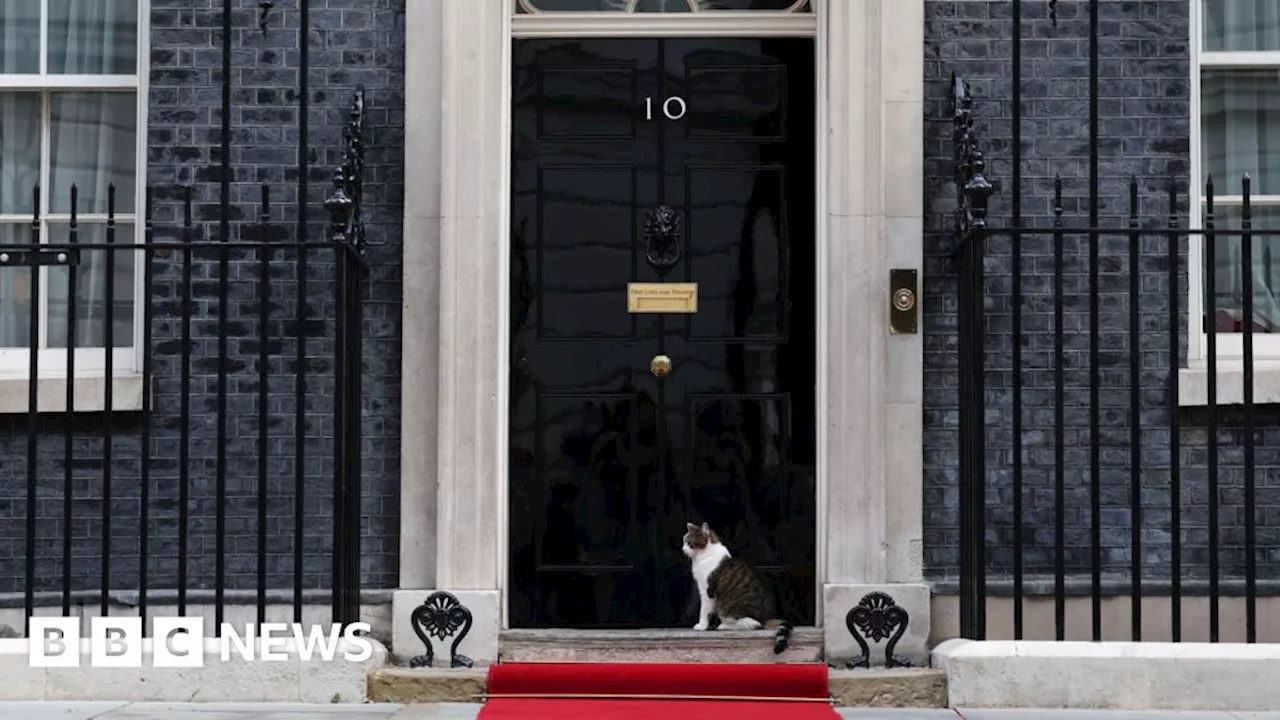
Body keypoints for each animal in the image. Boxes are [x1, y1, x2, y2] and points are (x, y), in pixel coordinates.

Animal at [680, 517, 788, 653]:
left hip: (728, 608)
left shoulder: (707, 591)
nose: (682, 549)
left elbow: (704, 611)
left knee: (753, 624)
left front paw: (701, 626)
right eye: (684, 542)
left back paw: (723, 626)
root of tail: (765, 619)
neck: (704, 555)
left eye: (689, 543)